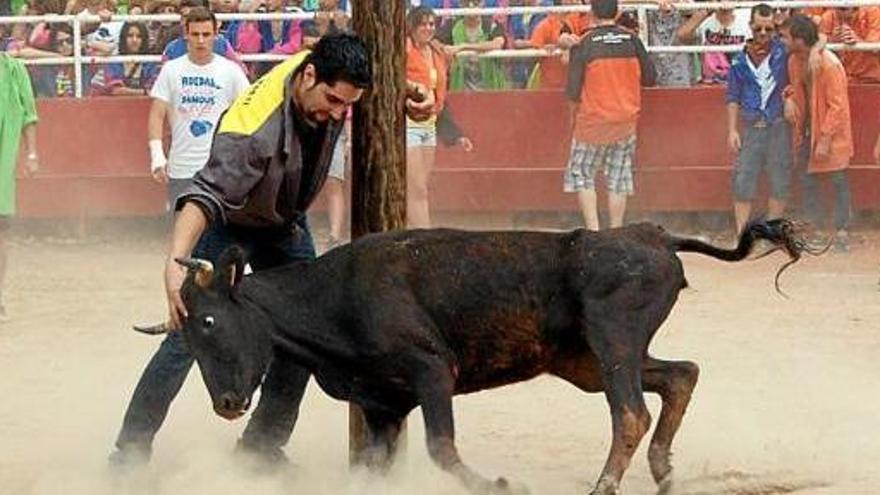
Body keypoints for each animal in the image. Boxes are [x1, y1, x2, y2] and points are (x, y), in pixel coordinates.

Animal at [136, 222, 812, 495]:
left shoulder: (433, 373)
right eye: (189, 338)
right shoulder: (383, 405)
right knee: (679, 376)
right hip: (587, 361)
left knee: (630, 412)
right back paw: (664, 471)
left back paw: (607, 484)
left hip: (613, 339)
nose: (227, 404)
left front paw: (501, 483)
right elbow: (374, 469)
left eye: (209, 321)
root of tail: (654, 235)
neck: (336, 295)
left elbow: (442, 448)